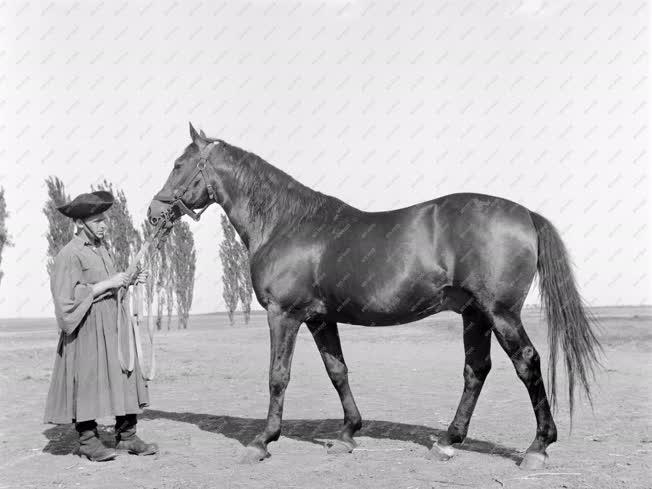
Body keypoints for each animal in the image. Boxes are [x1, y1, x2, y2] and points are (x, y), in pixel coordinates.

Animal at [148, 124, 600, 468]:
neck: (285, 223)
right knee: (476, 371)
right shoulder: (320, 318)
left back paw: (537, 448)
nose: (154, 214)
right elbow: (338, 371)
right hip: (475, 314)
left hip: (500, 312)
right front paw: (348, 433)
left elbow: (278, 376)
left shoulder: (284, 315)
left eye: (178, 165)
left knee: (527, 363)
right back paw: (448, 442)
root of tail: (526, 214)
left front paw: (263, 441)